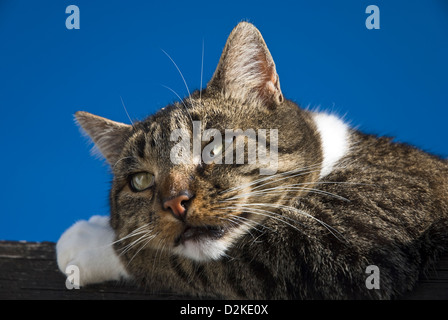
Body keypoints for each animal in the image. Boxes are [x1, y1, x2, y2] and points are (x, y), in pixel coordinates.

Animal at [56, 21, 448, 298]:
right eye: (140, 181)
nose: (174, 202)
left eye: (213, 147)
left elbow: (160, 260)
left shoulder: (358, 231)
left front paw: (89, 240)